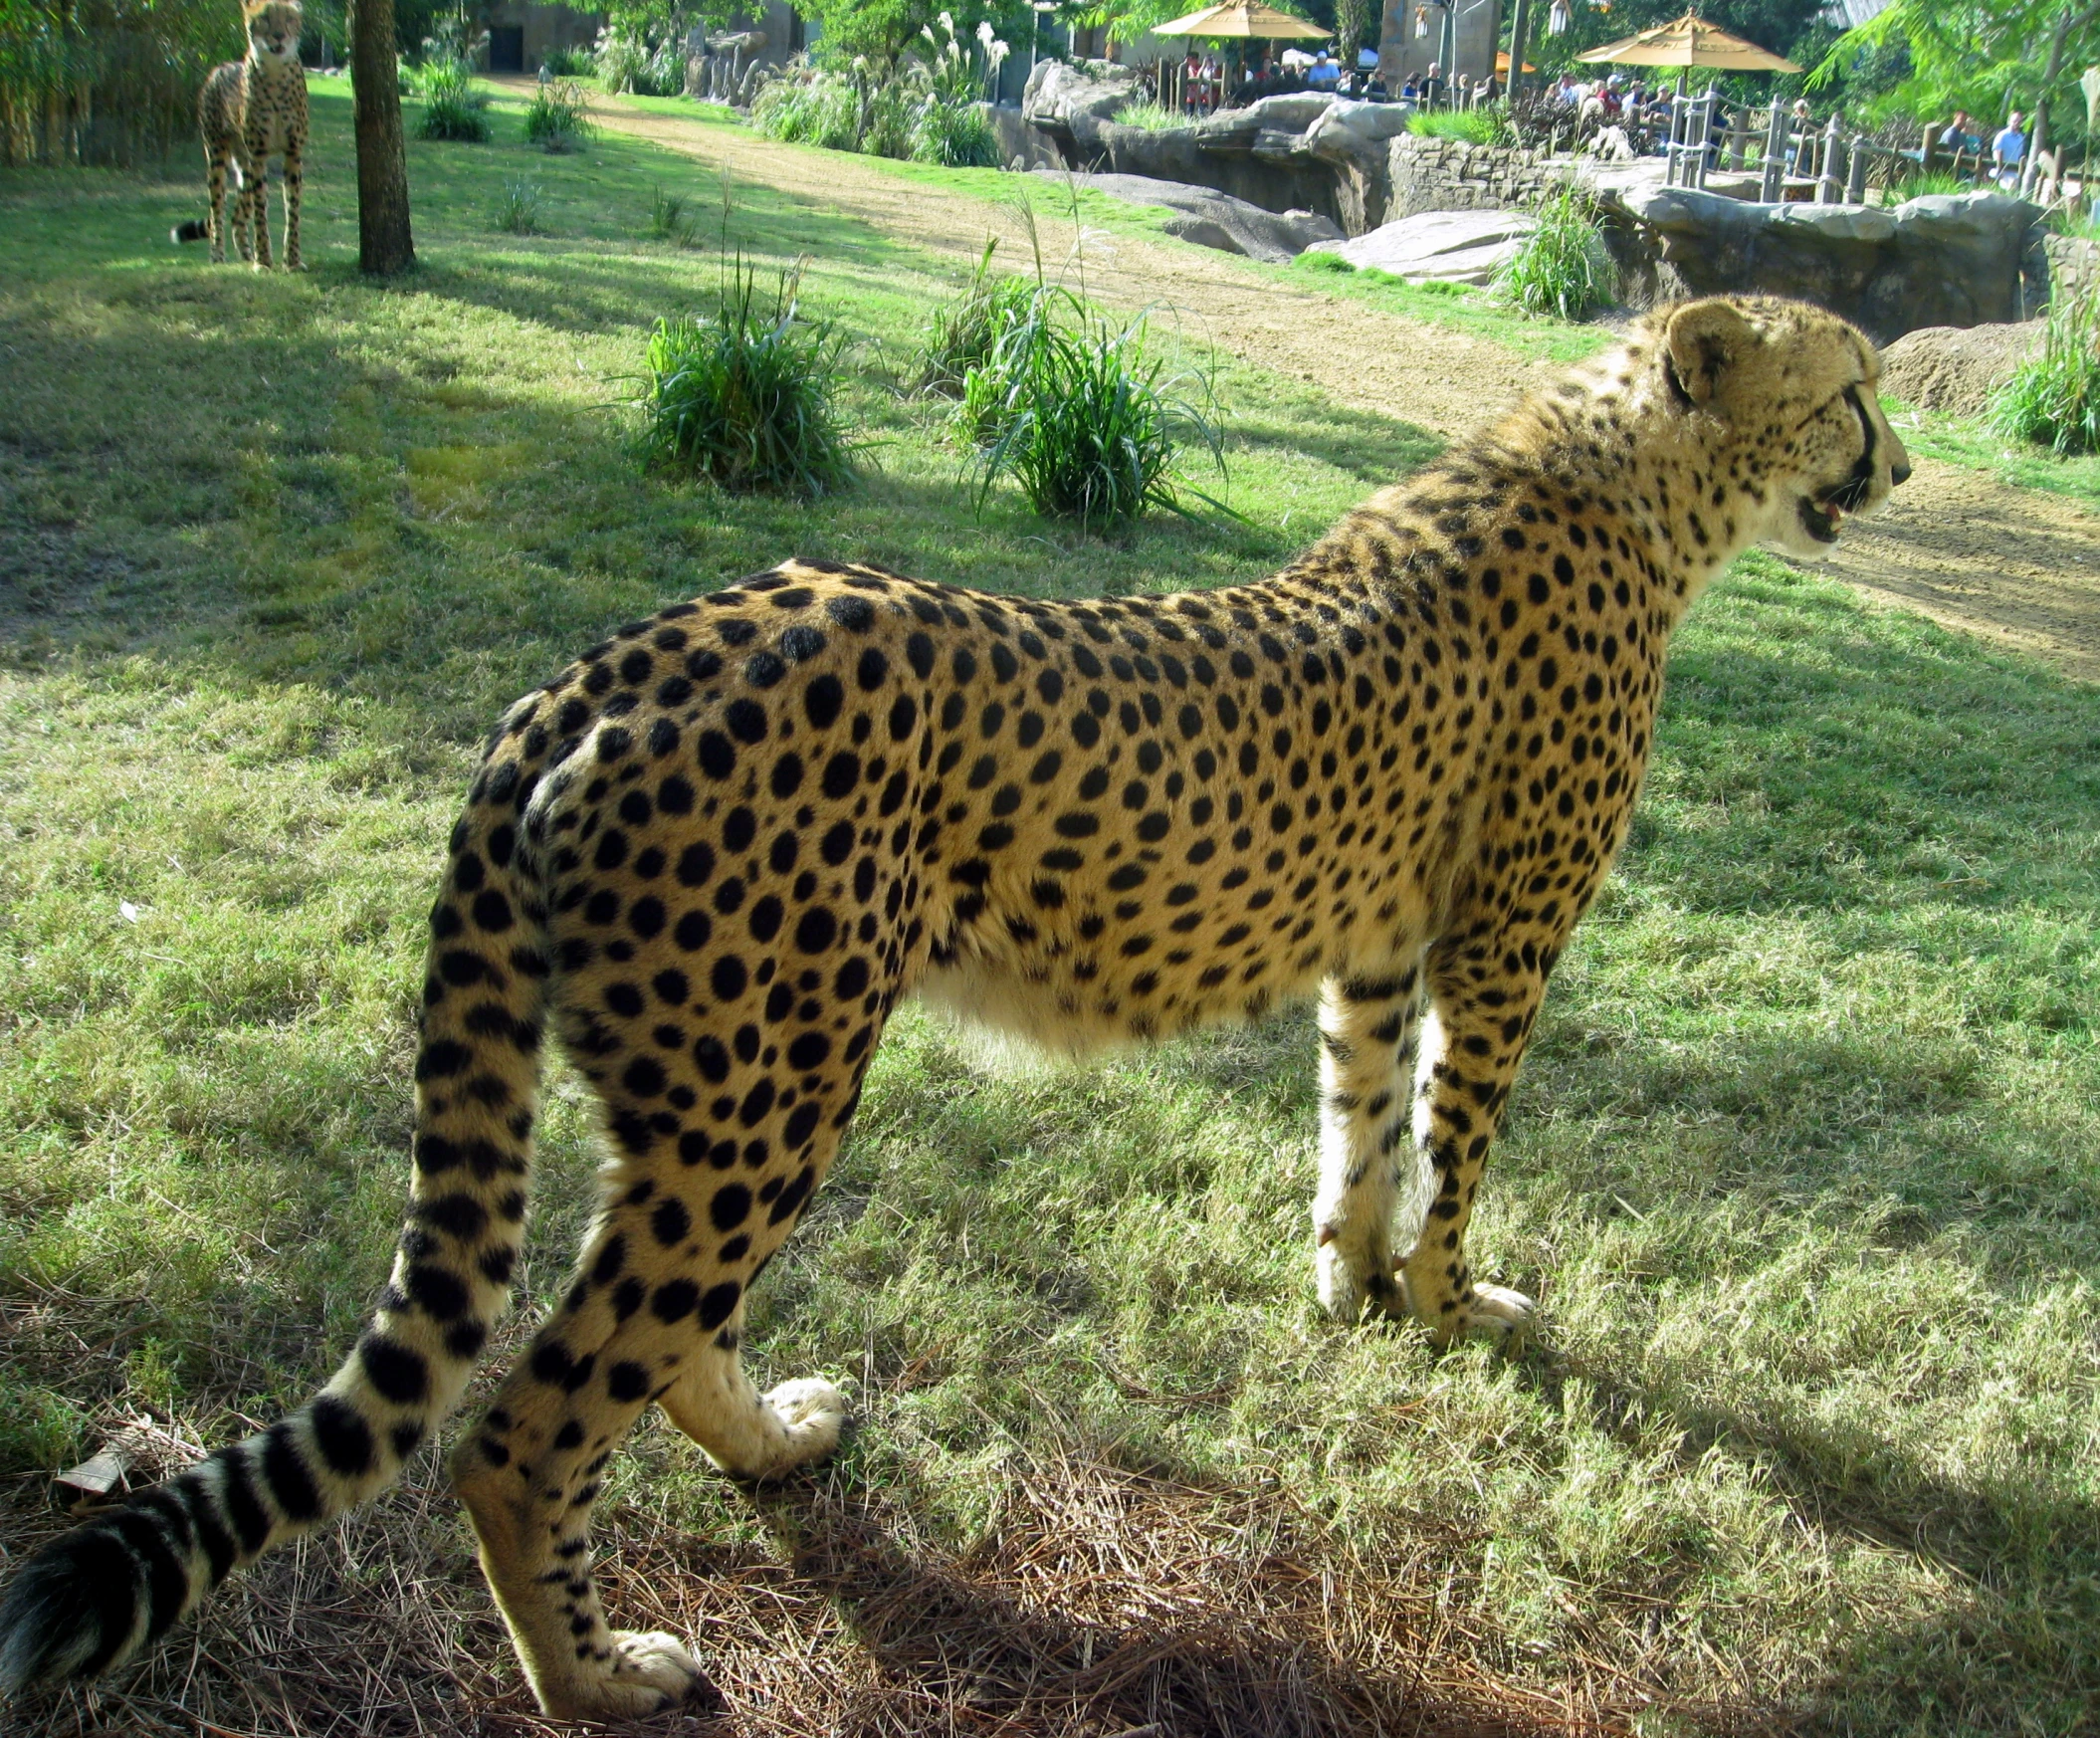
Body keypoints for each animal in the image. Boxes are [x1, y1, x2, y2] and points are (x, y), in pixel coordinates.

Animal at [0, 292, 1906, 1723]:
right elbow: (1460, 1148)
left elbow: (1360, 1130)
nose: (1900, 460)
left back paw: (774, 1447)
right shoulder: (1500, 944)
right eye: (1853, 390)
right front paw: (1451, 1309)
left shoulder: (1373, 948)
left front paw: (1348, 1287)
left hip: (702, 1085)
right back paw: (599, 1674)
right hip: (772, 1081)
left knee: (652, 1330)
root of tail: (595, 671)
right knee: (526, 1423)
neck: (1628, 478)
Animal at [173, 1, 307, 271]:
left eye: (289, 18)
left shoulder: (293, 151)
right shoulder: (258, 154)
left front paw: (292, 261)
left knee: (237, 216)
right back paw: (218, 255)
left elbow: (293, 209)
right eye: (265, 18)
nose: (278, 35)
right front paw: (263, 261)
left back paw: (246, 254)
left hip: (244, 166)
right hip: (218, 156)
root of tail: (220, 67)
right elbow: (260, 210)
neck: (275, 74)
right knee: (218, 210)